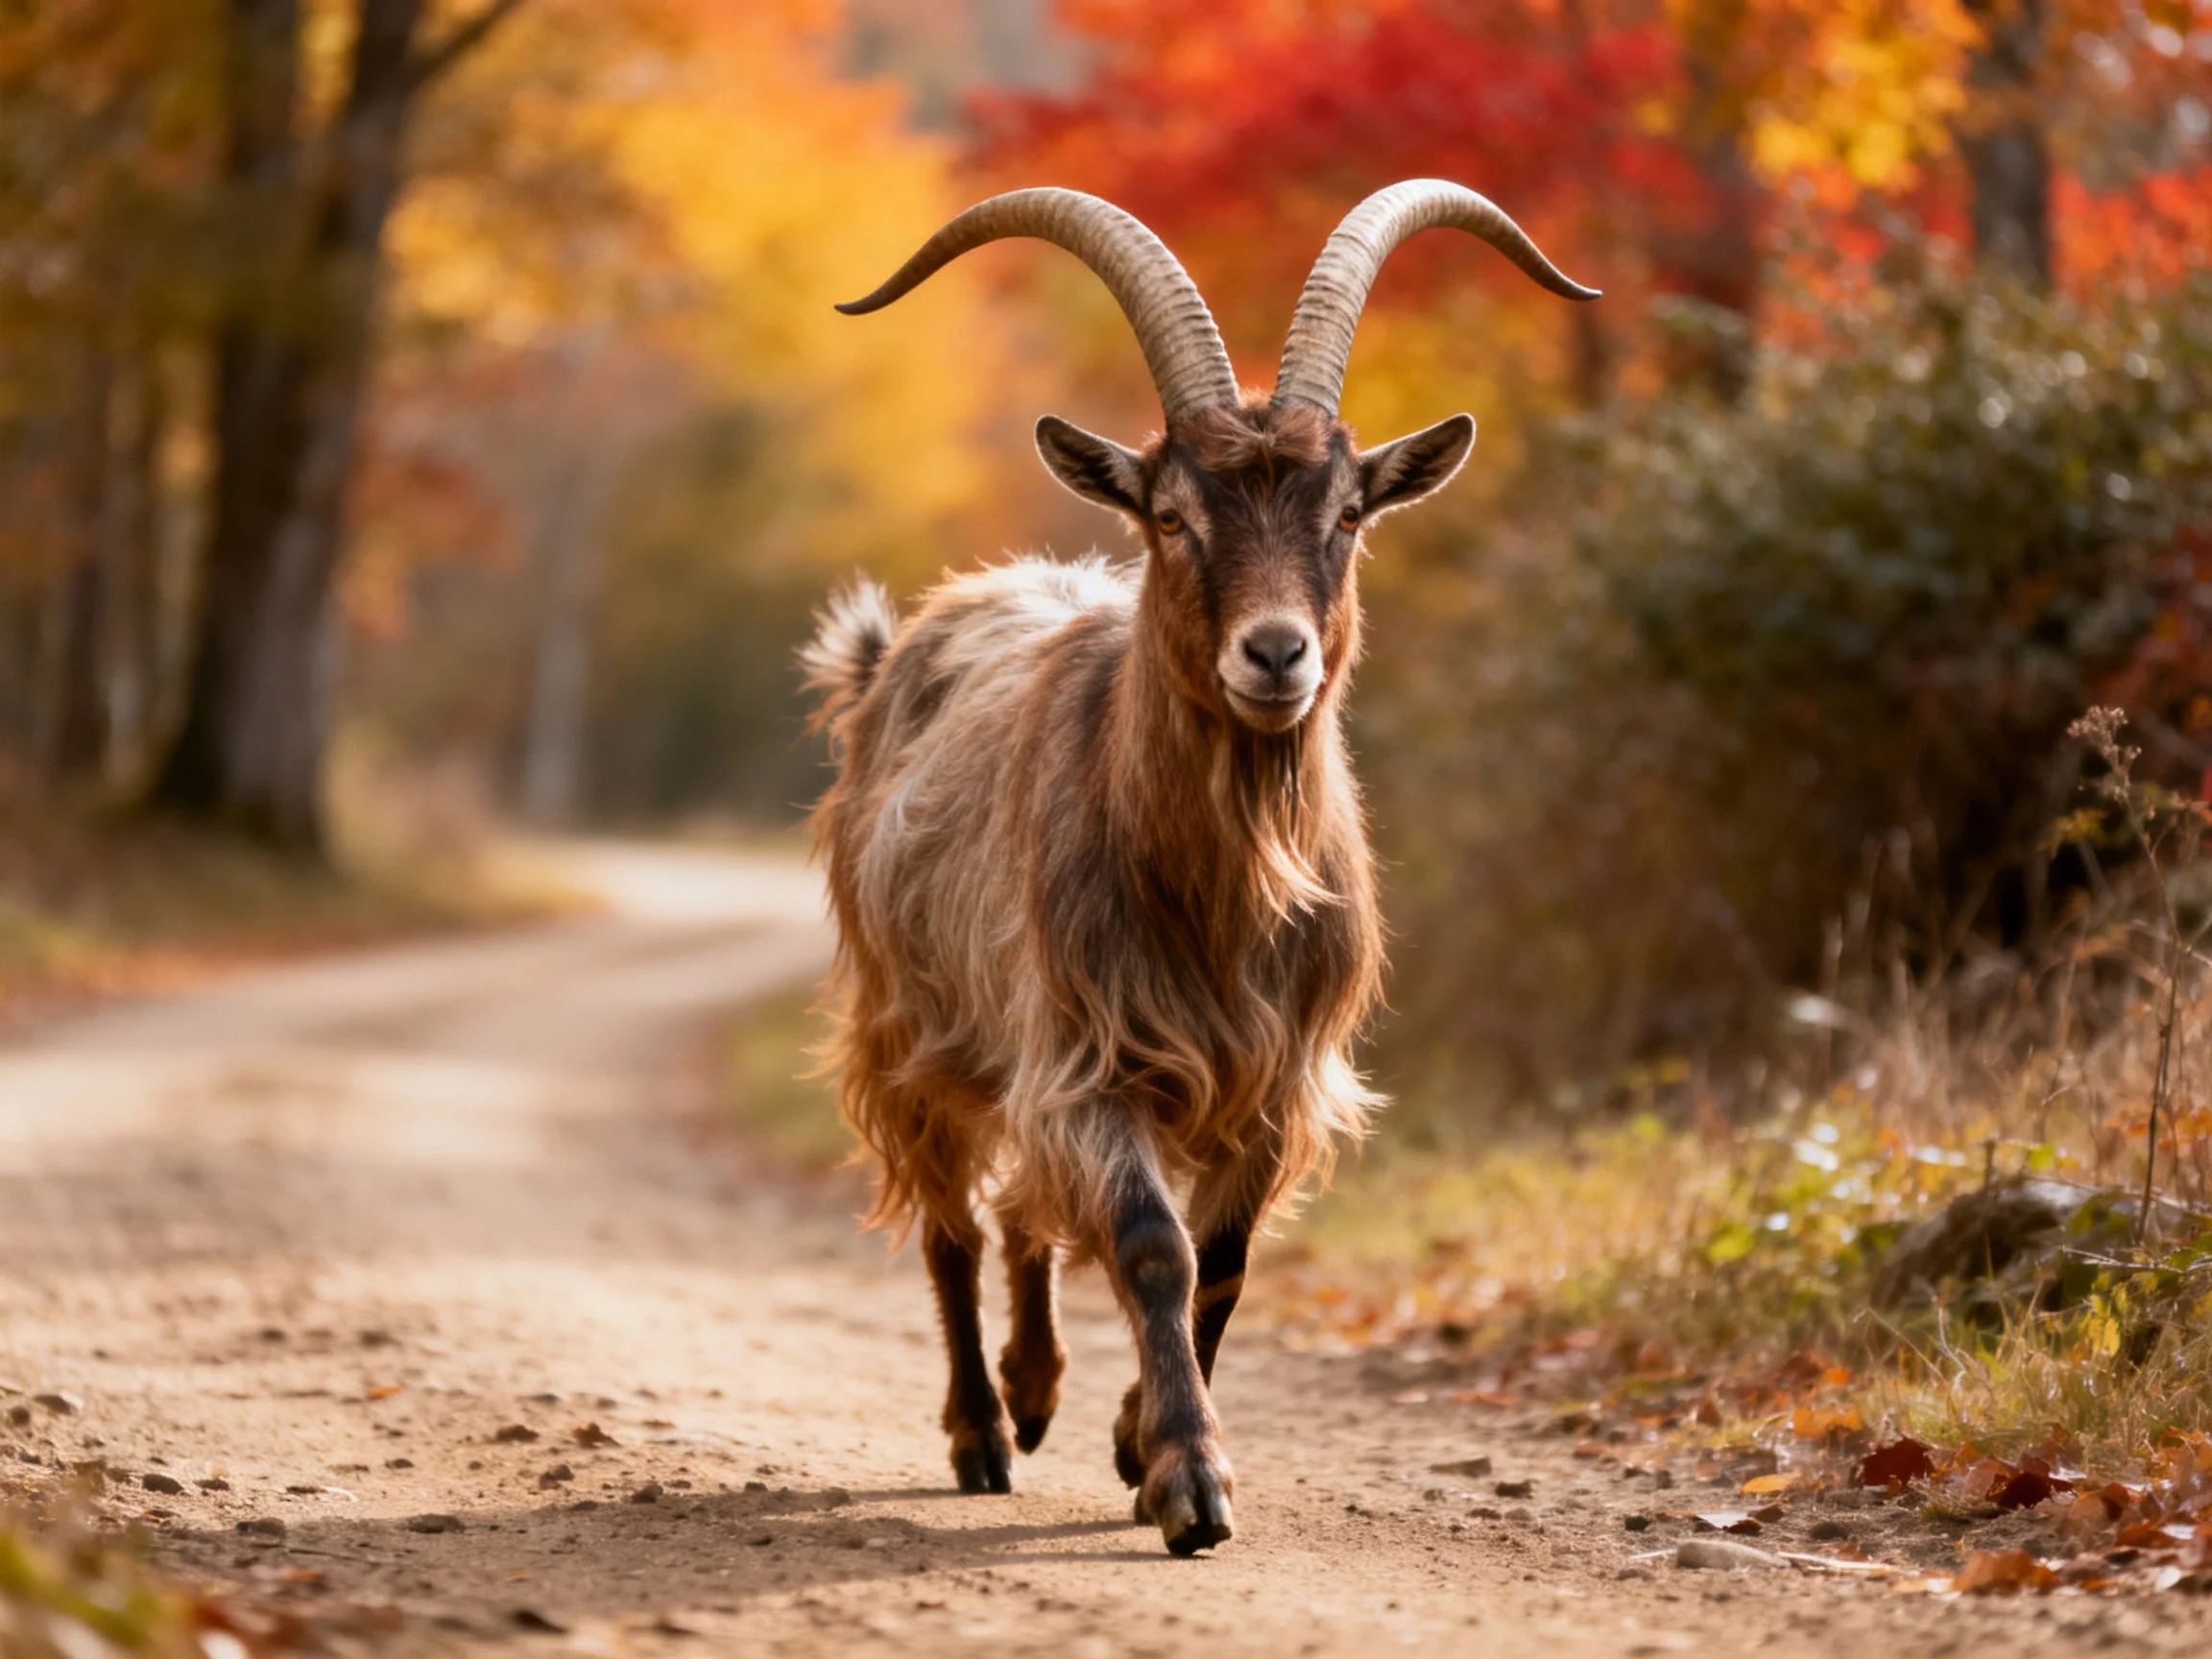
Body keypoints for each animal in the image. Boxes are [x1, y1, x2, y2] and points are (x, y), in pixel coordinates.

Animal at [806, 181, 1596, 1555]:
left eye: (1348, 515)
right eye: (1173, 517)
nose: (1275, 656)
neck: (1217, 901)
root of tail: (888, 654)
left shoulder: (1272, 1081)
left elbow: (1219, 1259)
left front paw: (1136, 1439)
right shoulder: (1090, 1052)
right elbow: (1150, 1242)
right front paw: (1189, 1479)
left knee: (1021, 1213)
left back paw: (1038, 1391)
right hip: (911, 1027)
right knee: (955, 1224)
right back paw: (982, 1431)